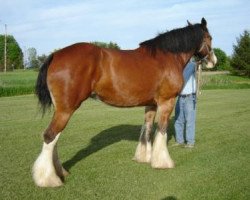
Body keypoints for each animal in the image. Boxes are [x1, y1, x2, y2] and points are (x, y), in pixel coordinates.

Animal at [32, 17, 217, 188]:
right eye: (209, 37)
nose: (213, 61)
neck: (167, 57)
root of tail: (55, 55)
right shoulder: (166, 102)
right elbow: (162, 130)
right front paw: (163, 162)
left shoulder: (151, 104)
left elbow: (147, 129)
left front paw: (144, 157)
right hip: (66, 109)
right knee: (50, 136)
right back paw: (49, 179)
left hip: (61, 109)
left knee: (54, 138)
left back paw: (60, 172)